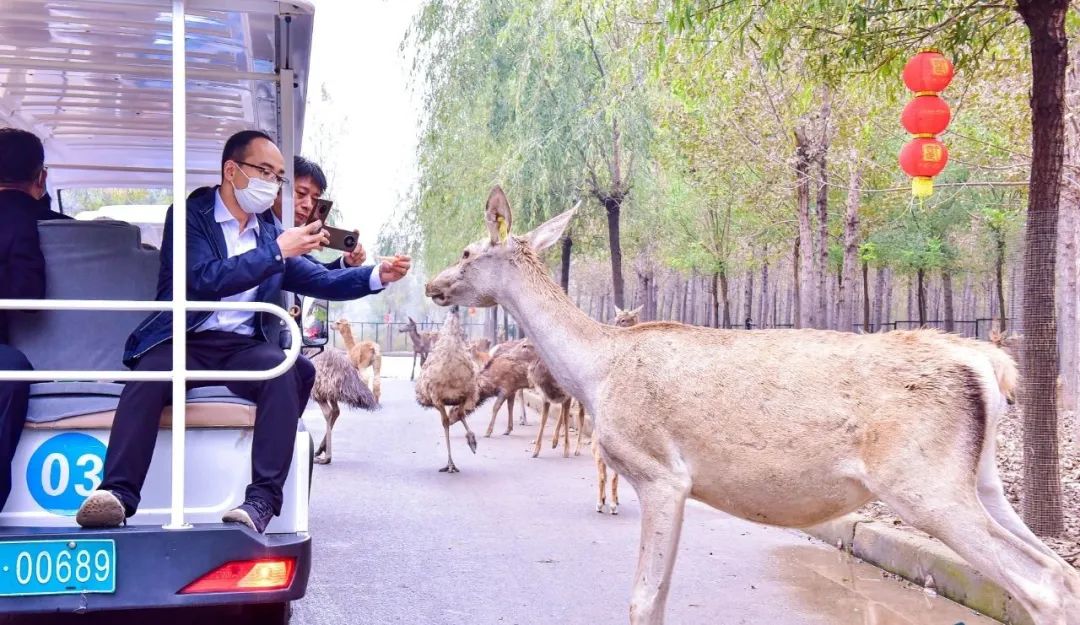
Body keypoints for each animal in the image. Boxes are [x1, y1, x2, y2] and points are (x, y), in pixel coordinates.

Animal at [427, 185, 1080, 625]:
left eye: (467, 251)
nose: (433, 283)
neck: (596, 371)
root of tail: (990, 366)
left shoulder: (659, 472)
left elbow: (643, 600)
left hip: (924, 481)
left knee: (1041, 580)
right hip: (983, 480)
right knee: (1060, 570)